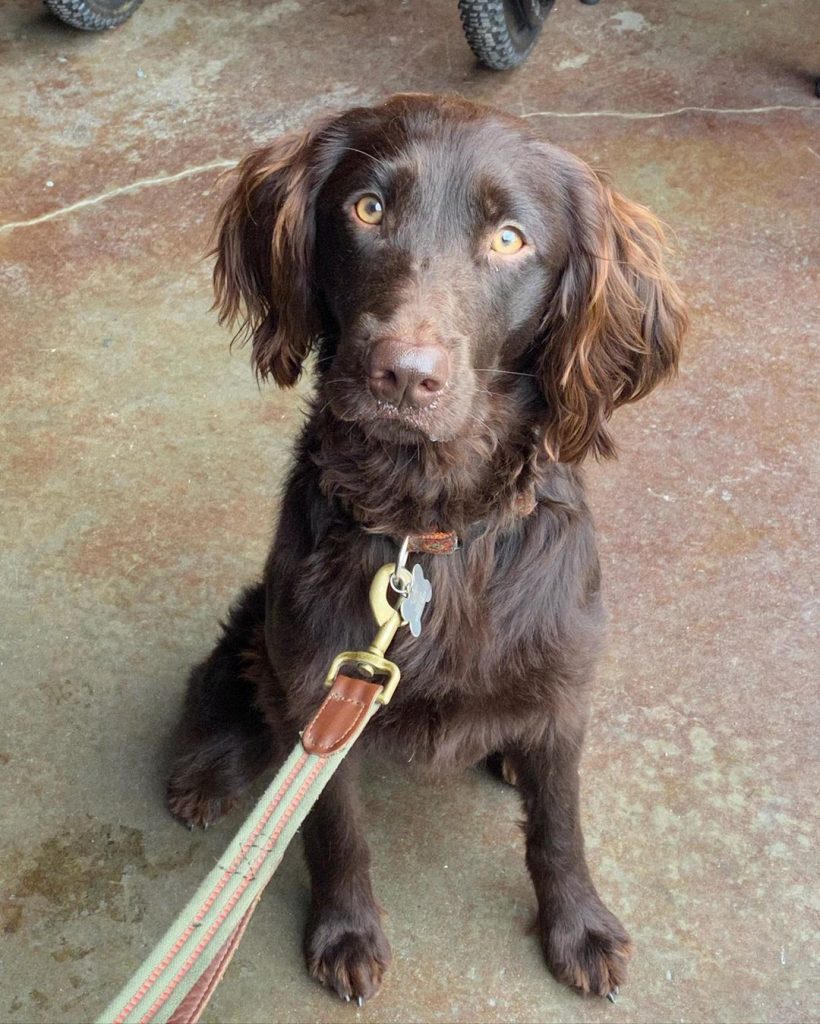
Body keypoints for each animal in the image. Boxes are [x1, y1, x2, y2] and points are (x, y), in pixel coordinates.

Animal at [164, 92, 683, 1003]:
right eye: (368, 209)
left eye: (509, 238)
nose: (403, 375)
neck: (428, 527)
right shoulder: (322, 690)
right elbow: (333, 829)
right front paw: (345, 932)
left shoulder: (564, 680)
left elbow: (559, 824)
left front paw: (578, 926)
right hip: (263, 624)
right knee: (228, 671)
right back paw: (205, 766)